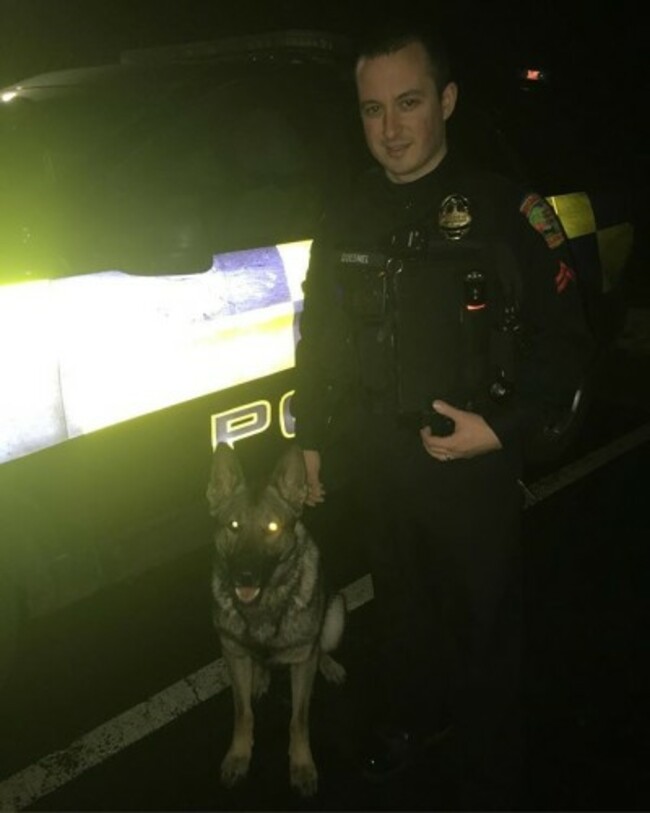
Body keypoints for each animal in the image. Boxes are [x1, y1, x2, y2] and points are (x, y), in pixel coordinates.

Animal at [206, 440, 346, 796]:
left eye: (272, 527)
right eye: (233, 526)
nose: (244, 576)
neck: (264, 604)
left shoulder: (302, 662)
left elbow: (299, 720)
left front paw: (302, 765)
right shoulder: (233, 652)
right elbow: (243, 713)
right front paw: (239, 755)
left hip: (335, 616)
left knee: (321, 647)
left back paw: (329, 665)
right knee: (260, 665)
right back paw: (261, 678)